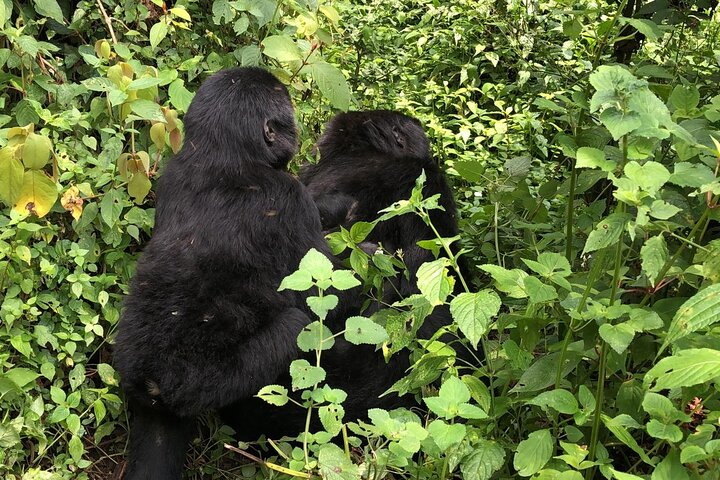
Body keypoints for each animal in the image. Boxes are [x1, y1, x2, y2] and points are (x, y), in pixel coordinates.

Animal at [111, 67, 356, 480]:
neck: (223, 153)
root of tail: (154, 382)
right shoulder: (287, 199)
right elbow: (325, 294)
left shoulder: (172, 173)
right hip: (213, 379)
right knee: (295, 324)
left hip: (148, 390)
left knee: (158, 437)